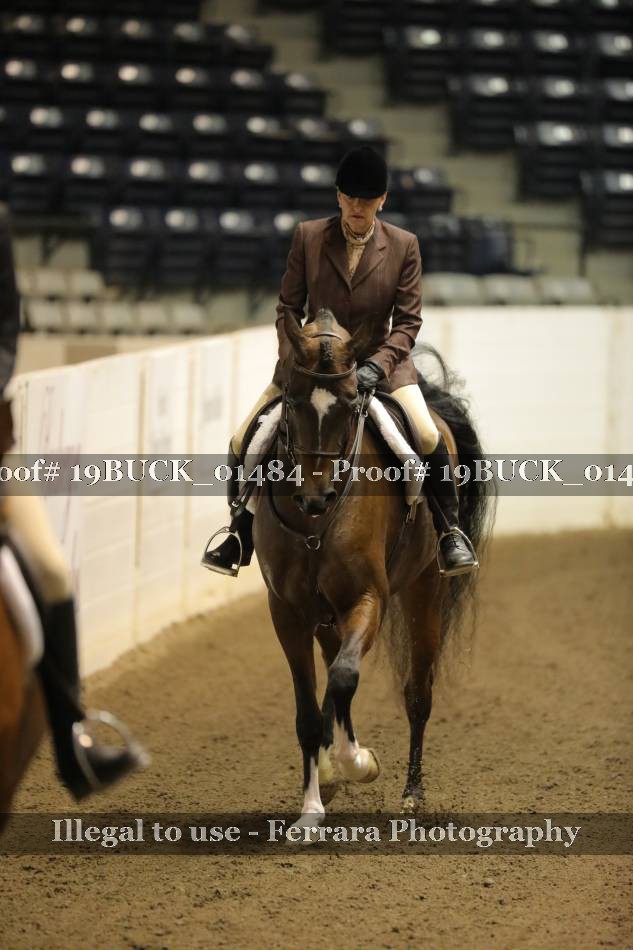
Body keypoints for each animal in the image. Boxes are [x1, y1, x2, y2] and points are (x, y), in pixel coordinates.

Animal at [252, 308, 492, 831]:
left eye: (349, 405)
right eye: (293, 401)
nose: (316, 497)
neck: (315, 523)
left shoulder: (368, 599)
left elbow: (345, 678)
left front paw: (361, 763)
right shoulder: (287, 613)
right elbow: (308, 712)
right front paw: (311, 811)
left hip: (425, 592)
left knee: (417, 694)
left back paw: (411, 793)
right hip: (325, 618)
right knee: (331, 685)